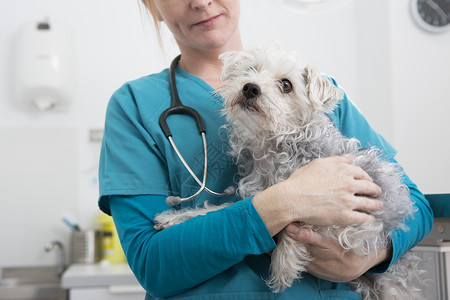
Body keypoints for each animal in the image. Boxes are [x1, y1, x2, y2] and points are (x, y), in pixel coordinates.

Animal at [156, 44, 426, 300]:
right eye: (250, 69)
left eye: (286, 85)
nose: (250, 88)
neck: (275, 144)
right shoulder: (256, 196)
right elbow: (216, 210)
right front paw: (176, 217)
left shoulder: (357, 218)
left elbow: (300, 220)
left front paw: (284, 263)